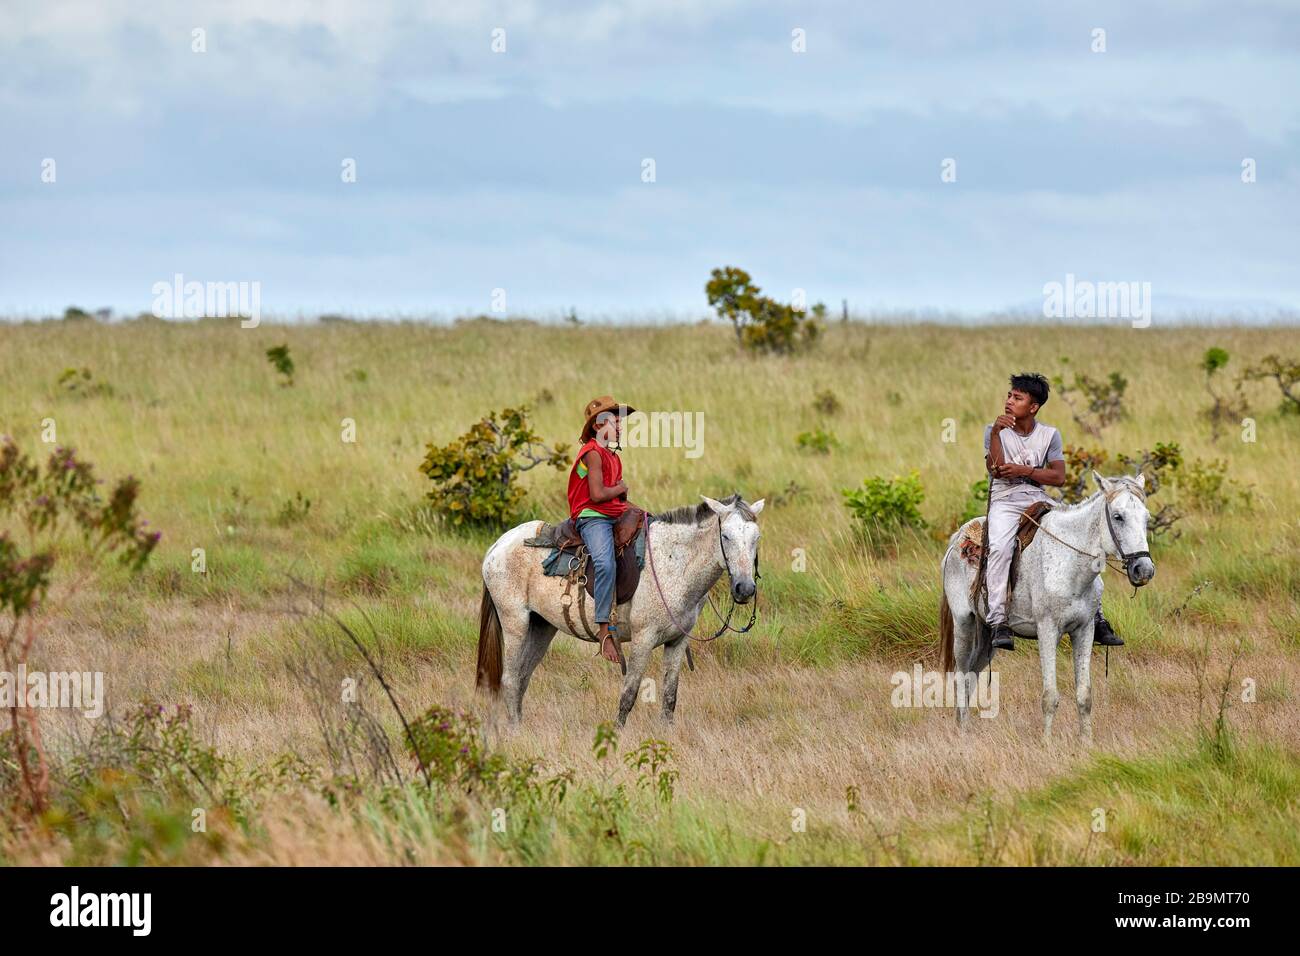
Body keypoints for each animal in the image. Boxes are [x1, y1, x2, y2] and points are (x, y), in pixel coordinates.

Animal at [476, 494, 764, 727]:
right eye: (725, 536)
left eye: (756, 538)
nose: (745, 588)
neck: (674, 563)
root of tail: (497, 546)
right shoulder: (643, 639)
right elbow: (629, 693)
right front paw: (617, 734)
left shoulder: (677, 641)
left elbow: (670, 696)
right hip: (515, 623)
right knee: (510, 679)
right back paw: (515, 731)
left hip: (541, 627)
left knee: (522, 678)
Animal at [939, 471, 1155, 743]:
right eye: (1118, 516)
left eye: (1146, 518)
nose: (1144, 570)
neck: (1069, 563)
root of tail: (957, 537)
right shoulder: (1047, 631)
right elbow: (1050, 695)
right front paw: (1047, 742)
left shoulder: (1084, 630)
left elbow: (1084, 694)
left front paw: (1086, 742)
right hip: (964, 624)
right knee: (960, 675)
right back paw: (962, 731)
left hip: (986, 635)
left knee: (971, 675)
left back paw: (965, 728)